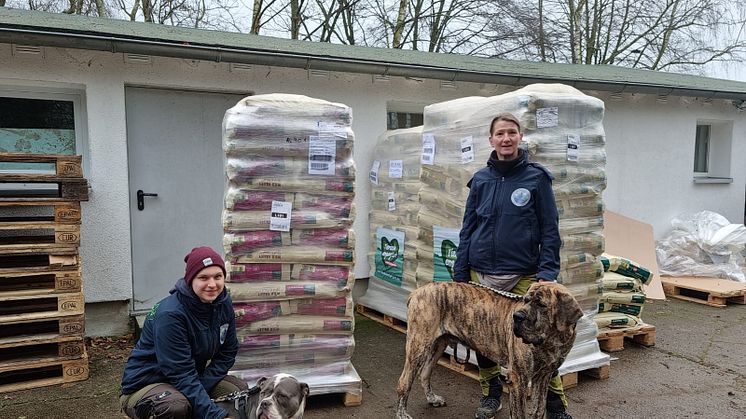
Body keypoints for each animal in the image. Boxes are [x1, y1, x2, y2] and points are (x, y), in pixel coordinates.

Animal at [392, 282, 584, 419]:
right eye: (526, 300)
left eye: (542, 304)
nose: (516, 317)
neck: (550, 340)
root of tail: (417, 292)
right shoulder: (518, 380)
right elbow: (520, 413)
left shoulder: (544, 377)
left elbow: (539, 409)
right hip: (419, 344)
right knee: (404, 382)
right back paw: (402, 414)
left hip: (438, 345)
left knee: (424, 373)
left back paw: (432, 399)